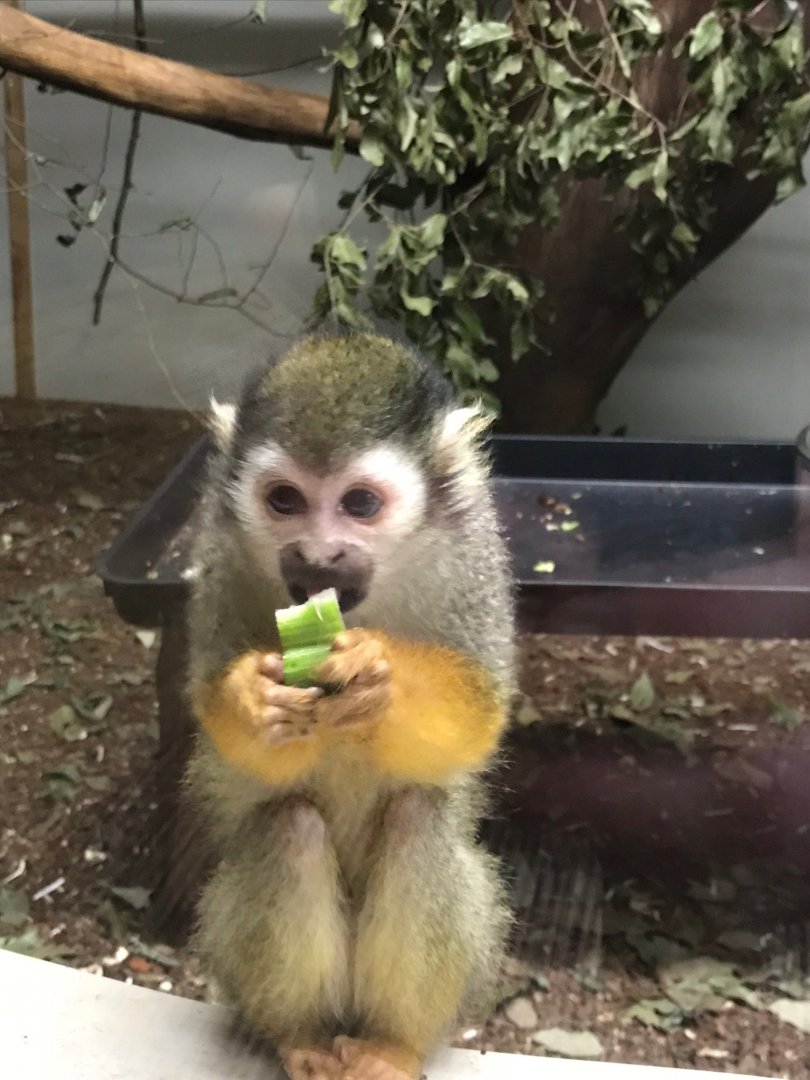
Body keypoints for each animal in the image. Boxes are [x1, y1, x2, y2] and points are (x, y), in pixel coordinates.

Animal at [183, 332, 516, 1080]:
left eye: (360, 504)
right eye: (284, 500)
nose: (319, 555)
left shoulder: (474, 543)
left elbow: (480, 708)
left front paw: (381, 679)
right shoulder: (217, 542)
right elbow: (219, 726)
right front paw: (249, 698)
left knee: (420, 819)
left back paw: (392, 1043)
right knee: (287, 829)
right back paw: (302, 1033)